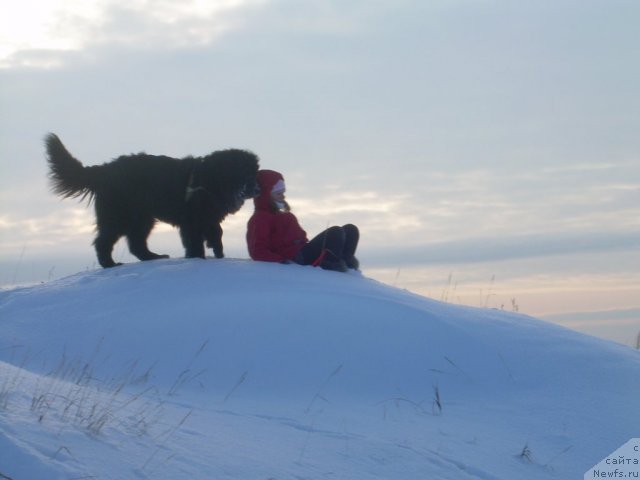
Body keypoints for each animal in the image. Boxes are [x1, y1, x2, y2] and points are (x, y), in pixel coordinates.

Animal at [43, 133, 258, 268]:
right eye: (245, 173)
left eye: (255, 173)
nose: (257, 189)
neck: (212, 179)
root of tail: (104, 170)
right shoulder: (192, 221)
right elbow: (195, 242)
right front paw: (197, 258)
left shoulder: (210, 219)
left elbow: (217, 236)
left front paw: (219, 255)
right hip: (119, 217)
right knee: (103, 241)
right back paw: (110, 264)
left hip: (141, 218)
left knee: (136, 243)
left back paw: (152, 257)